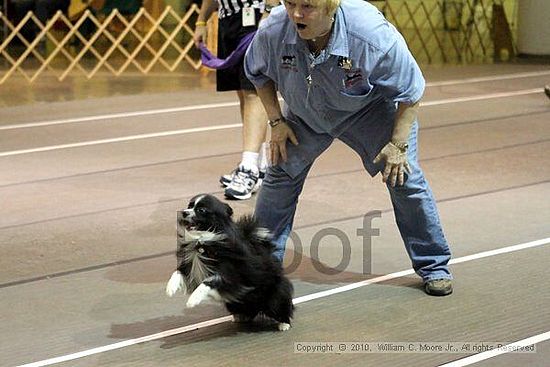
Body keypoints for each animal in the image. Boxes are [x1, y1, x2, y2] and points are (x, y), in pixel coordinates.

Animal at [166, 194, 296, 332]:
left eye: (202, 210)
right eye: (189, 206)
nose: (184, 212)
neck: (202, 242)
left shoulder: (230, 274)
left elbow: (208, 281)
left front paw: (193, 299)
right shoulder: (190, 265)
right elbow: (177, 272)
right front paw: (170, 288)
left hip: (274, 299)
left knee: (282, 308)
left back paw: (284, 324)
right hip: (235, 304)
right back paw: (241, 317)